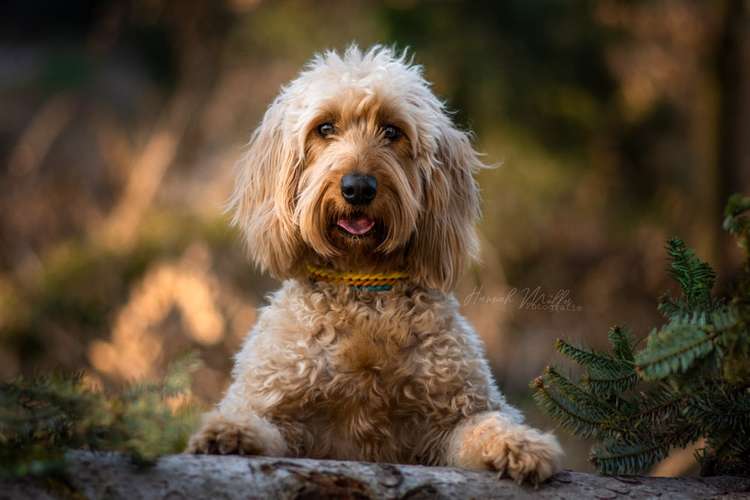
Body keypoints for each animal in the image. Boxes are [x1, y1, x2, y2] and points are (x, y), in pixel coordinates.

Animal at [188, 46, 564, 484]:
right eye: (325, 128)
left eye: (392, 131)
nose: (358, 188)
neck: (362, 283)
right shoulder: (280, 405)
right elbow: (259, 420)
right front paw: (229, 431)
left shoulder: (454, 414)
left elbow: (486, 424)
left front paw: (522, 444)